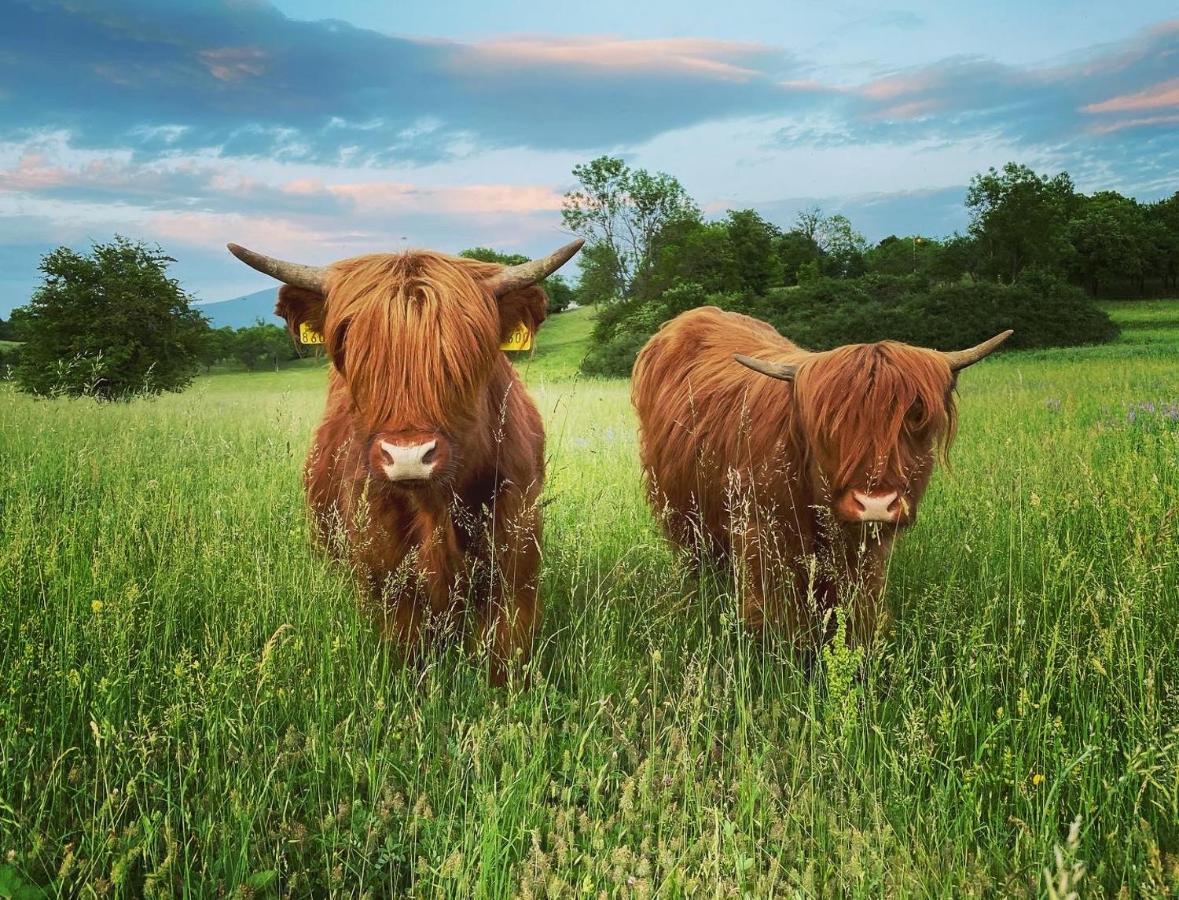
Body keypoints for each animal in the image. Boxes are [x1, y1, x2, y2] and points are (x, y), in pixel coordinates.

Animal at [225, 239, 580, 684]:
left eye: (469, 347)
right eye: (351, 348)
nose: (408, 456)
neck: (436, 510)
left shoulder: (515, 564)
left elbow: (504, 653)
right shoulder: (383, 576)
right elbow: (407, 654)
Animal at [631, 306, 1009, 651]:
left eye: (915, 415)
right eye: (833, 422)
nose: (875, 504)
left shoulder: (863, 554)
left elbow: (857, 609)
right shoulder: (762, 537)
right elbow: (780, 619)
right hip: (679, 511)